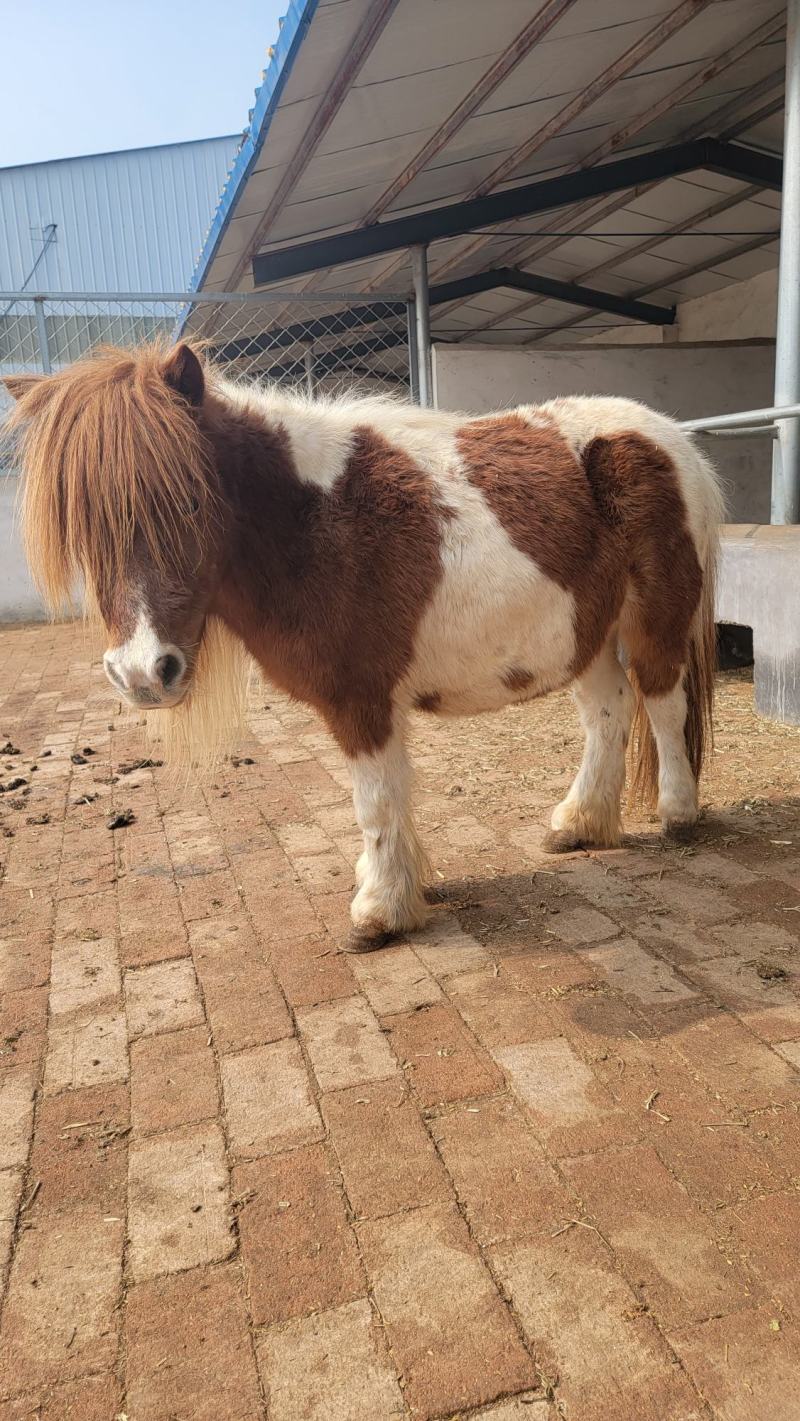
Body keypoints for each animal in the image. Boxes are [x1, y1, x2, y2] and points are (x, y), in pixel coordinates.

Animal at [4, 341, 723, 953]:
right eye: (80, 528)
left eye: (188, 503)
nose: (143, 674)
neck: (315, 520)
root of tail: (668, 437)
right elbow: (387, 798)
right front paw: (395, 885)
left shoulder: (360, 699)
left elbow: (375, 797)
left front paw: (379, 911)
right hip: (586, 631)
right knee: (609, 710)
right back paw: (578, 823)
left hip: (653, 619)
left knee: (663, 703)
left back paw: (678, 814)